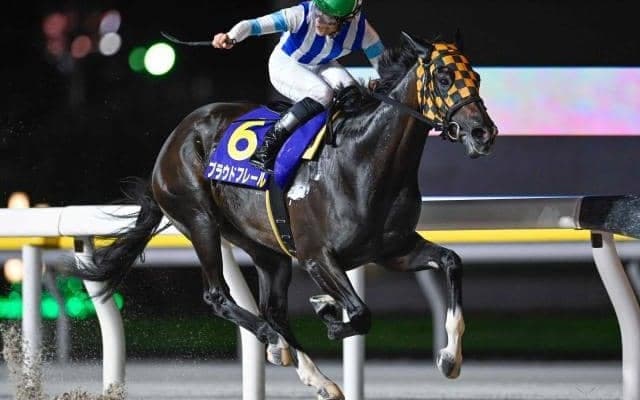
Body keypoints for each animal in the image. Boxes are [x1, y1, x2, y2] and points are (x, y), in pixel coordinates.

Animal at [62, 32, 498, 400]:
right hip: (199, 220)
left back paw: (316, 376)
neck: (366, 160)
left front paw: (450, 358)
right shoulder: (316, 255)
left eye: (476, 75)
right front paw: (328, 310)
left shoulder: (392, 249)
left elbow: (451, 261)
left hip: (265, 248)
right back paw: (276, 344)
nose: (483, 133)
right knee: (219, 296)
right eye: (443, 77)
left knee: (274, 309)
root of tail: (174, 138)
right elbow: (360, 313)